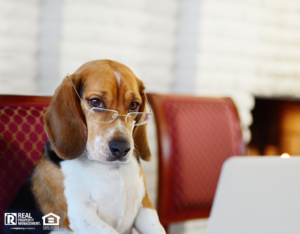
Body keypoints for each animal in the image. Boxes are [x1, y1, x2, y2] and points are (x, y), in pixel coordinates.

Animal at [3, 59, 165, 233]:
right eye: (96, 102)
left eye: (134, 105)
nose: (121, 148)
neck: (110, 169)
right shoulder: (80, 214)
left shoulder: (145, 205)